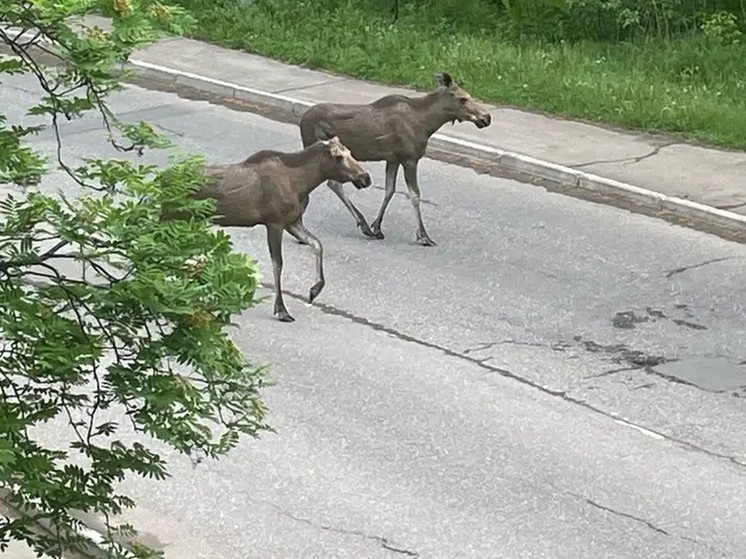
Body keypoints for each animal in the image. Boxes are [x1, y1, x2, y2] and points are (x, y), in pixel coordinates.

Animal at [165, 122, 370, 324]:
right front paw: (281, 309)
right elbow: (278, 264)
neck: (301, 184)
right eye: (338, 156)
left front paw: (314, 290)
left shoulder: (292, 222)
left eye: (350, 152)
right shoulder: (275, 222)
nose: (365, 177)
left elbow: (317, 244)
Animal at [296, 71, 494, 246]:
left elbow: (389, 190)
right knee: (331, 183)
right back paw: (360, 225)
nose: (487, 117)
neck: (427, 124)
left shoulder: (394, 159)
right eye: (462, 99)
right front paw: (423, 236)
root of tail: (302, 120)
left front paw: (377, 226)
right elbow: (415, 195)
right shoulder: (410, 158)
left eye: (469, 96)